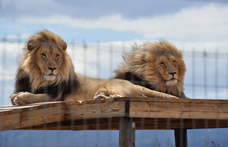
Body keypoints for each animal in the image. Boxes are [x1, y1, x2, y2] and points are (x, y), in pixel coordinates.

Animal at [10, 29, 178, 105]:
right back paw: (100, 96)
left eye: (57, 56)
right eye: (43, 55)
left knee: (126, 96)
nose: (53, 69)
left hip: (115, 86)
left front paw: (23, 97)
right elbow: (13, 96)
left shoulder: (56, 96)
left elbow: (37, 96)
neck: (38, 78)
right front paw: (19, 96)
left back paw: (107, 97)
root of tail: (133, 84)